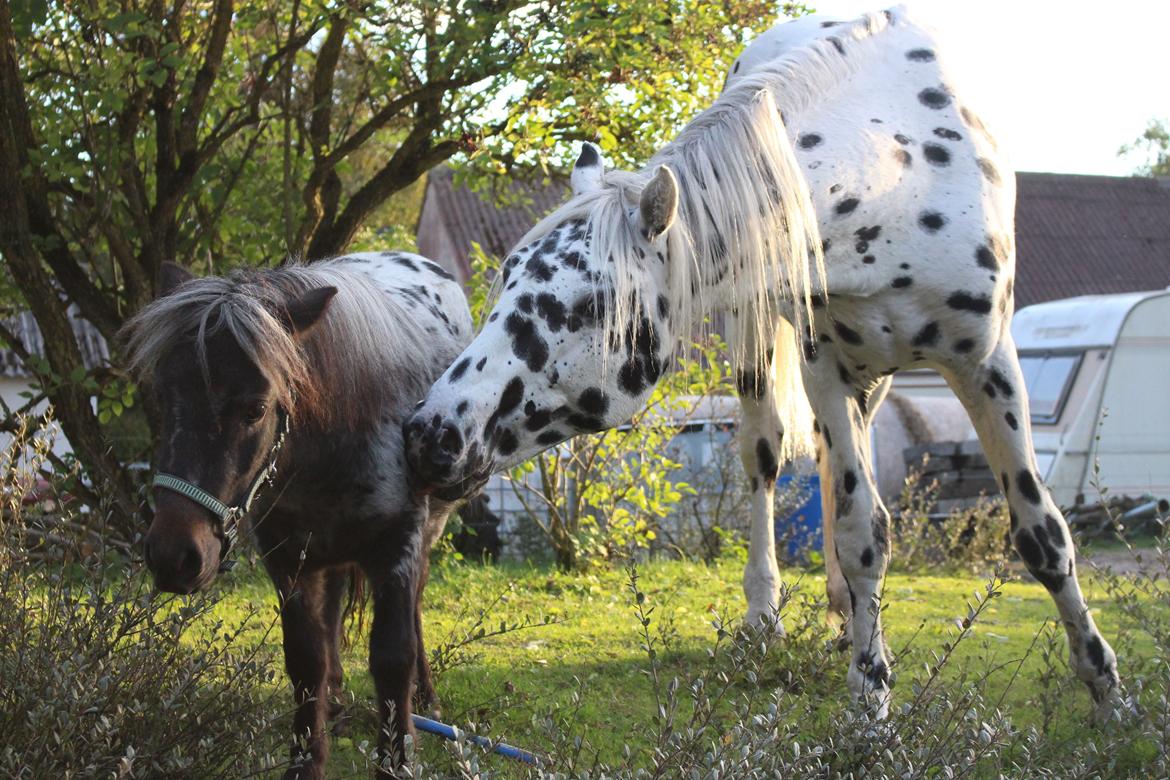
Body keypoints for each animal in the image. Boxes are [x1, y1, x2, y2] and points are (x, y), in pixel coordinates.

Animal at [125, 253, 472, 776]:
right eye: (165, 398)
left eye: (255, 408)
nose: (173, 555)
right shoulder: (287, 557)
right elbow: (308, 658)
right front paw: (308, 759)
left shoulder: (398, 546)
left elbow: (393, 656)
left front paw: (396, 758)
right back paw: (337, 705)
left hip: (428, 533)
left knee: (414, 608)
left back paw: (425, 696)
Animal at [404, 6, 1123, 725]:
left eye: (587, 307)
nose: (428, 435)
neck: (898, 173)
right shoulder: (825, 369)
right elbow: (861, 532)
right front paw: (871, 695)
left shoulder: (987, 362)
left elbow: (1042, 533)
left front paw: (1108, 692)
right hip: (765, 354)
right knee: (768, 459)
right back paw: (769, 616)